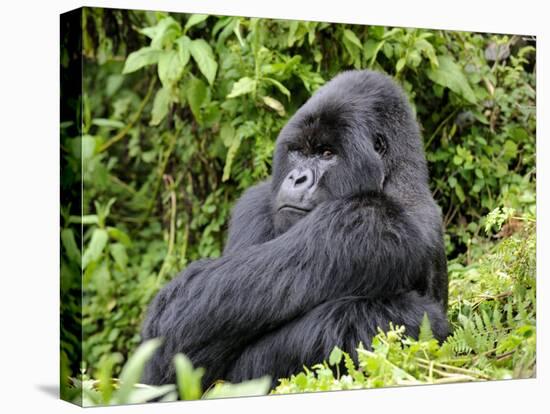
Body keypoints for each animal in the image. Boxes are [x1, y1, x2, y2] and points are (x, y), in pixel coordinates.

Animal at [140, 69, 450, 390]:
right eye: (299, 151)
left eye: (326, 153)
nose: (297, 178)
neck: (397, 181)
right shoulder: (256, 201)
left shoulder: (365, 221)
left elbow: (183, 316)